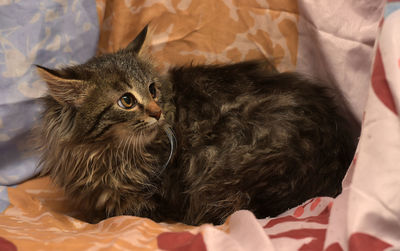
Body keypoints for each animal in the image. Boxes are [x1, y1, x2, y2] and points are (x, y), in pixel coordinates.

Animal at [36, 25, 358, 226]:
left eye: (152, 89)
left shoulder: (152, 200)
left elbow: (117, 214)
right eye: (126, 101)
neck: (105, 154)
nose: (157, 112)